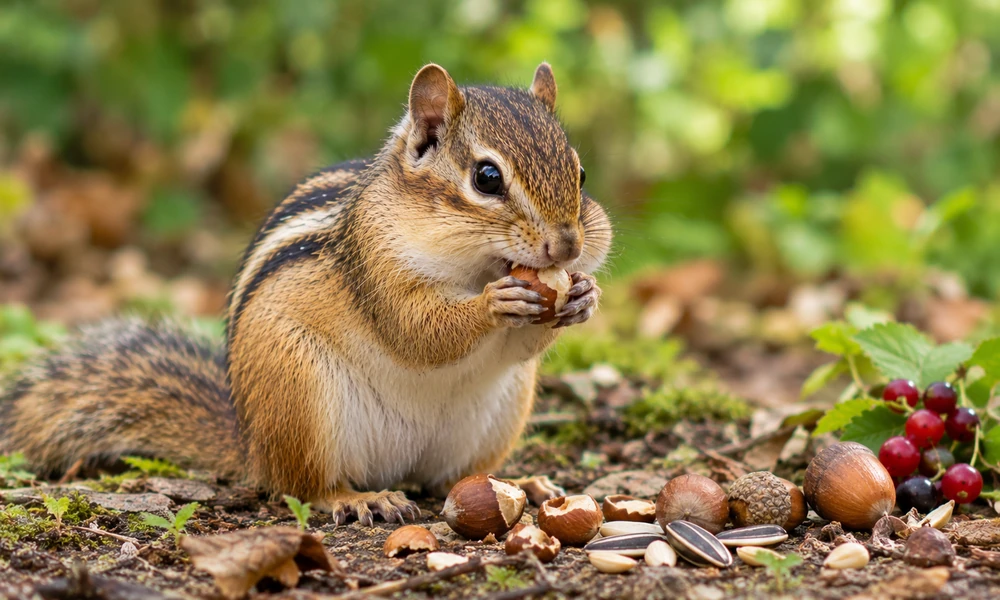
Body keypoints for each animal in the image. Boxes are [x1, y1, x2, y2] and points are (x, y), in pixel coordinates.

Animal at [0, 63, 612, 526]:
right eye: (487, 178)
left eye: (581, 174)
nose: (567, 245)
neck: (475, 266)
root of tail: (251, 446)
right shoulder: (375, 268)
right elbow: (417, 331)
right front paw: (495, 304)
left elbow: (524, 342)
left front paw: (584, 295)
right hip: (299, 394)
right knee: (303, 487)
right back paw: (360, 498)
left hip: (501, 412)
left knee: (449, 479)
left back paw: (521, 483)